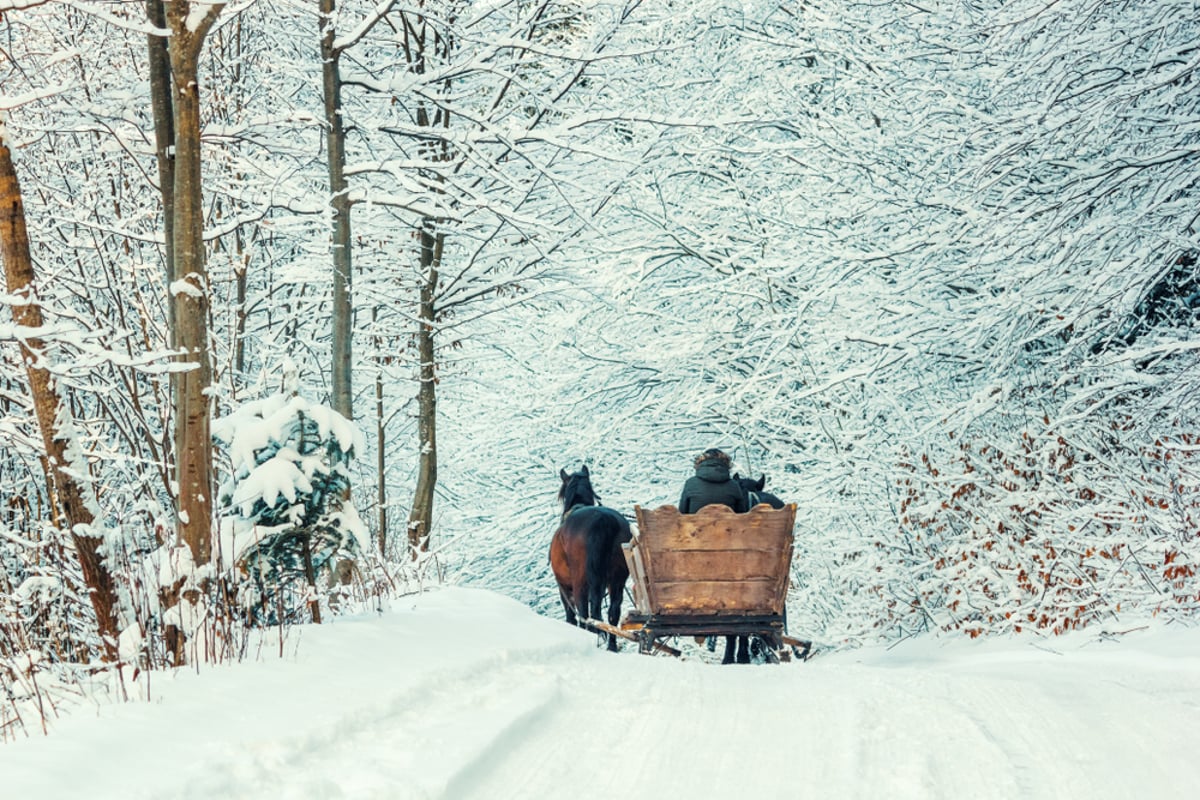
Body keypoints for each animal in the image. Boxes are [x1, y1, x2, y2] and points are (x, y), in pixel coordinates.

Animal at [549, 470, 633, 652]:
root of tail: (603, 519)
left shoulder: (564, 587)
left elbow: (571, 615)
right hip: (617, 579)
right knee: (613, 613)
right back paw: (611, 647)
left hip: (580, 582)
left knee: (585, 614)